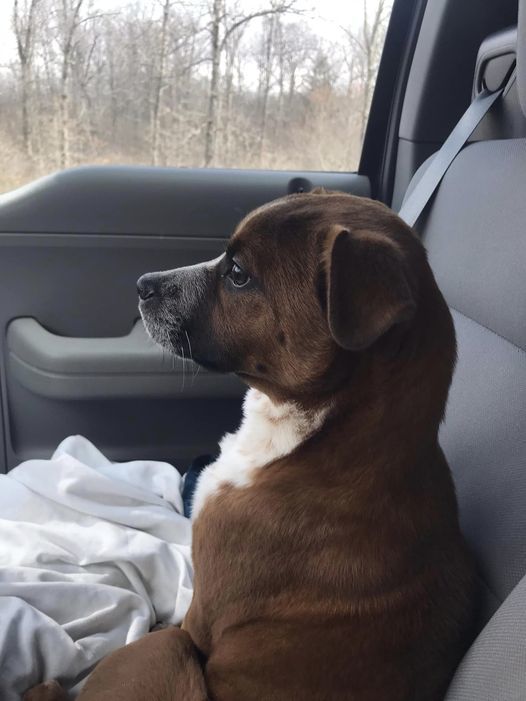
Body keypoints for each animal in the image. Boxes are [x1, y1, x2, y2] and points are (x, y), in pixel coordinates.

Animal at [25, 189, 478, 696]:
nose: (142, 284)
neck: (327, 439)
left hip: (162, 652)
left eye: (238, 274)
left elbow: (183, 620)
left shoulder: (202, 610)